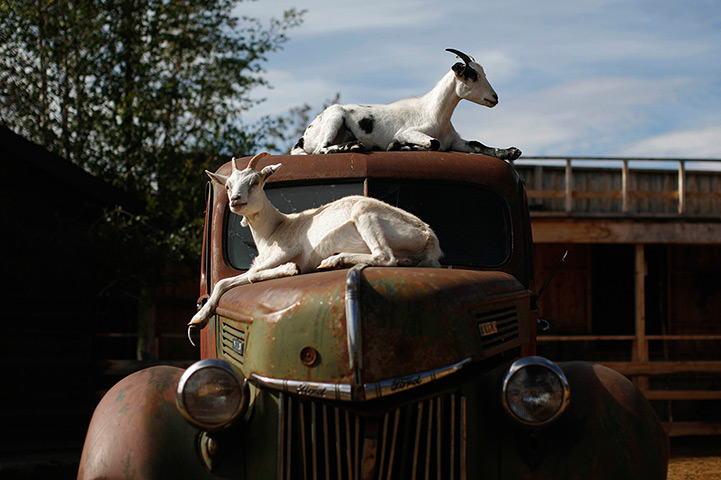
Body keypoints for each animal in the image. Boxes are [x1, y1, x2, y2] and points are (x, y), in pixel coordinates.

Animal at [188, 152, 442, 331]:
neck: (275, 229)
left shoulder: (287, 250)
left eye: (255, 182)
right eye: (228, 185)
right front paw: (198, 318)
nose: (235, 200)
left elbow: (248, 276)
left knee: (385, 257)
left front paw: (290, 269)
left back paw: (334, 261)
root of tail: (429, 235)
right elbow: (228, 281)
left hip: (364, 213)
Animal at [290, 48, 521, 162]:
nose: (494, 97)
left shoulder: (456, 142)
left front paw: (510, 152)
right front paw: (396, 146)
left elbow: (478, 144)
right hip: (335, 117)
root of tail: (302, 140)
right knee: (320, 149)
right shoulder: (407, 132)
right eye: (472, 75)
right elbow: (433, 143)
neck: (434, 112)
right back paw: (354, 146)